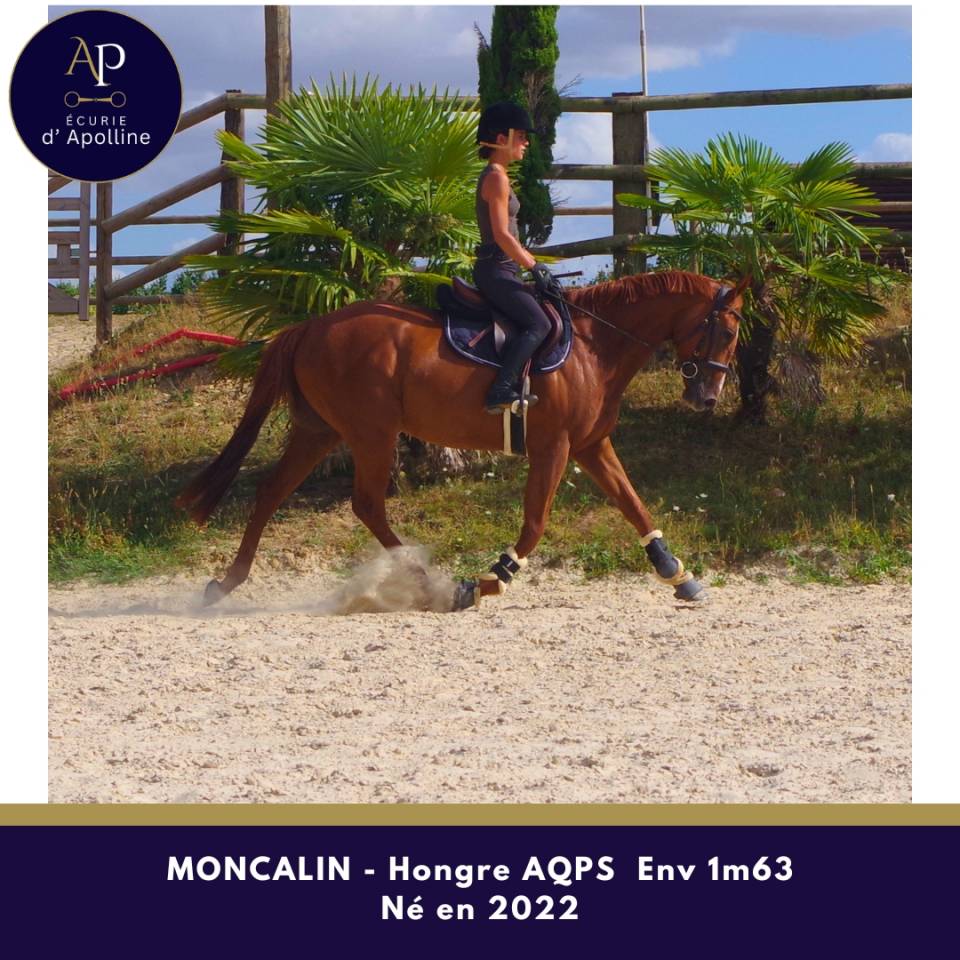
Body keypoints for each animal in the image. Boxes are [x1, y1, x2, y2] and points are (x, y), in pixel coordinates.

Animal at [176, 269, 748, 609]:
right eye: (727, 332)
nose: (708, 397)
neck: (594, 344)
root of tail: (308, 326)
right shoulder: (556, 448)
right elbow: (535, 524)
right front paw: (492, 579)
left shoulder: (591, 445)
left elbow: (634, 505)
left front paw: (677, 575)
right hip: (372, 432)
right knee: (366, 505)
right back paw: (437, 584)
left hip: (320, 431)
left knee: (272, 492)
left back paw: (225, 584)